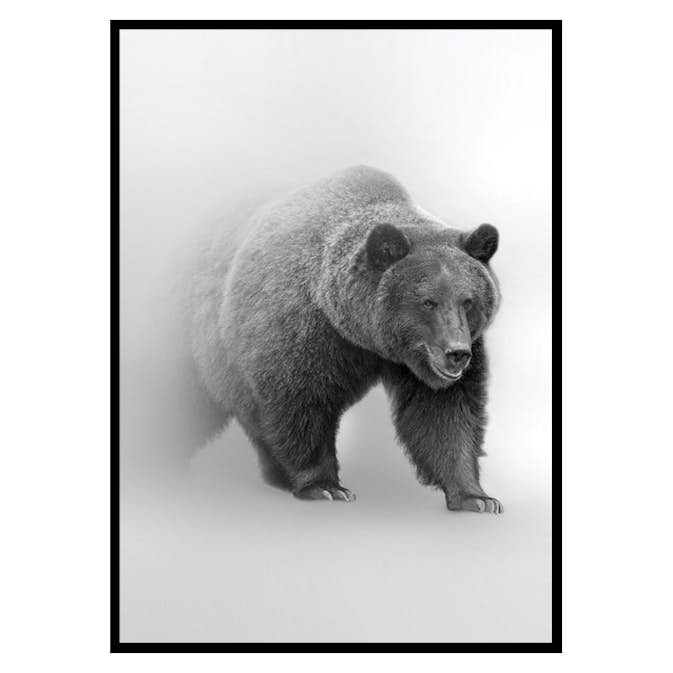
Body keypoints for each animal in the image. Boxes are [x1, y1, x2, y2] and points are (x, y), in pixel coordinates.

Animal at [188, 165, 502, 513]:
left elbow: (445, 412)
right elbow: (298, 402)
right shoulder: (299, 331)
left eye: (468, 301)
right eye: (428, 302)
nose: (456, 353)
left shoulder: (428, 359)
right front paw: (325, 486)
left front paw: (476, 497)